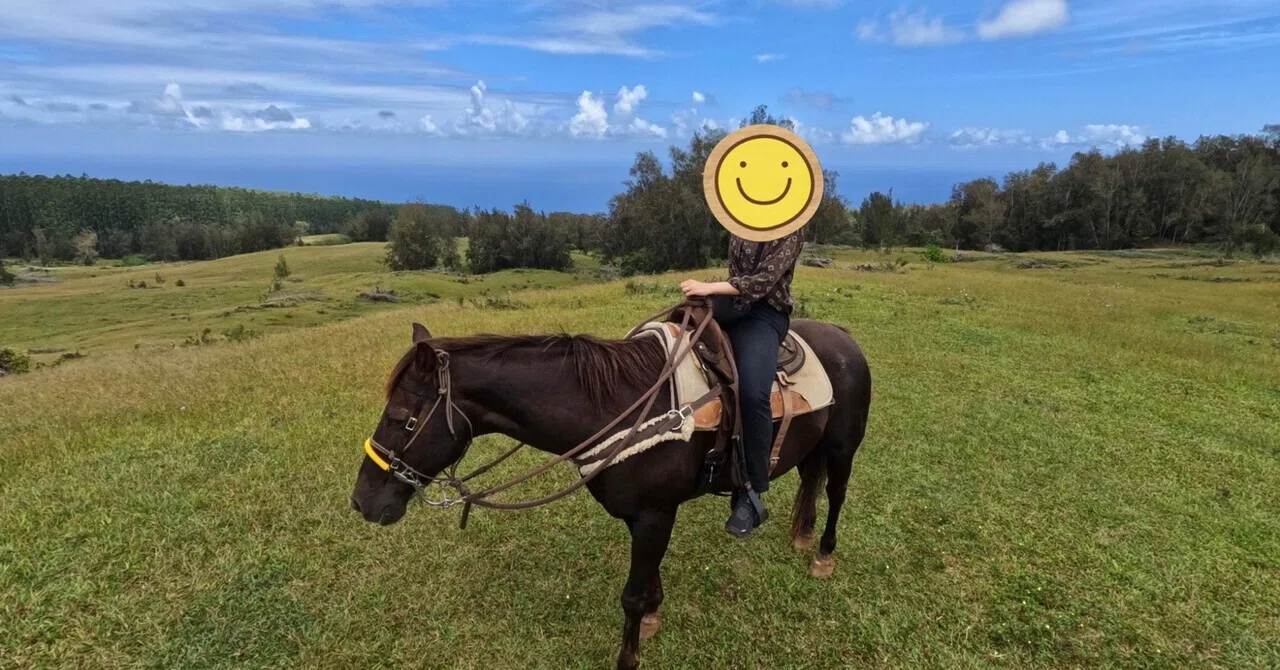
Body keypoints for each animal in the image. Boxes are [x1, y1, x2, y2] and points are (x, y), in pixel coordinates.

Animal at [349, 306, 872, 670]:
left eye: (403, 417)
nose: (362, 501)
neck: (618, 406)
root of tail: (843, 336)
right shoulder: (640, 514)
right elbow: (647, 579)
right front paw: (654, 618)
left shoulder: (656, 512)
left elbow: (631, 595)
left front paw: (629, 655)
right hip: (813, 446)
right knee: (811, 480)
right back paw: (802, 533)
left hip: (843, 447)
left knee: (837, 493)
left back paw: (822, 554)